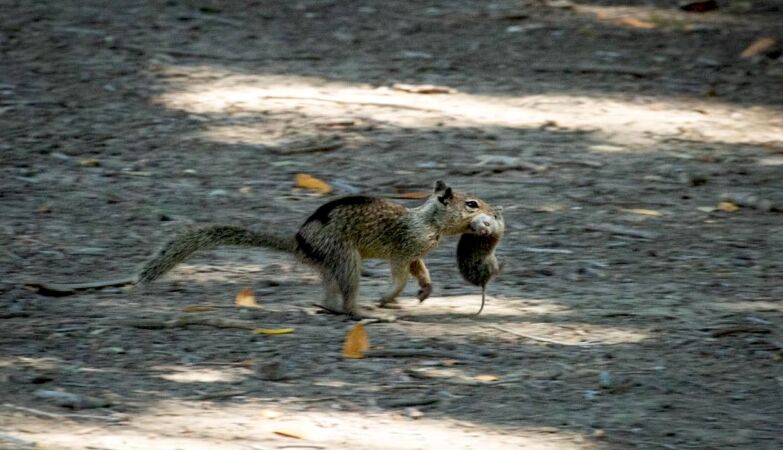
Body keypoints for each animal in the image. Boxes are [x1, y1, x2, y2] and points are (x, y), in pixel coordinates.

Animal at [133, 180, 502, 320]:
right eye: (471, 204)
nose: (496, 212)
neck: (428, 220)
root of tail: (299, 242)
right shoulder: (403, 248)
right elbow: (399, 275)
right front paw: (389, 297)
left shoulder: (415, 253)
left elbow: (419, 270)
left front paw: (424, 291)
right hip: (346, 258)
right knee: (349, 300)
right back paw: (366, 311)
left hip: (331, 265)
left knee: (330, 297)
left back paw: (327, 307)